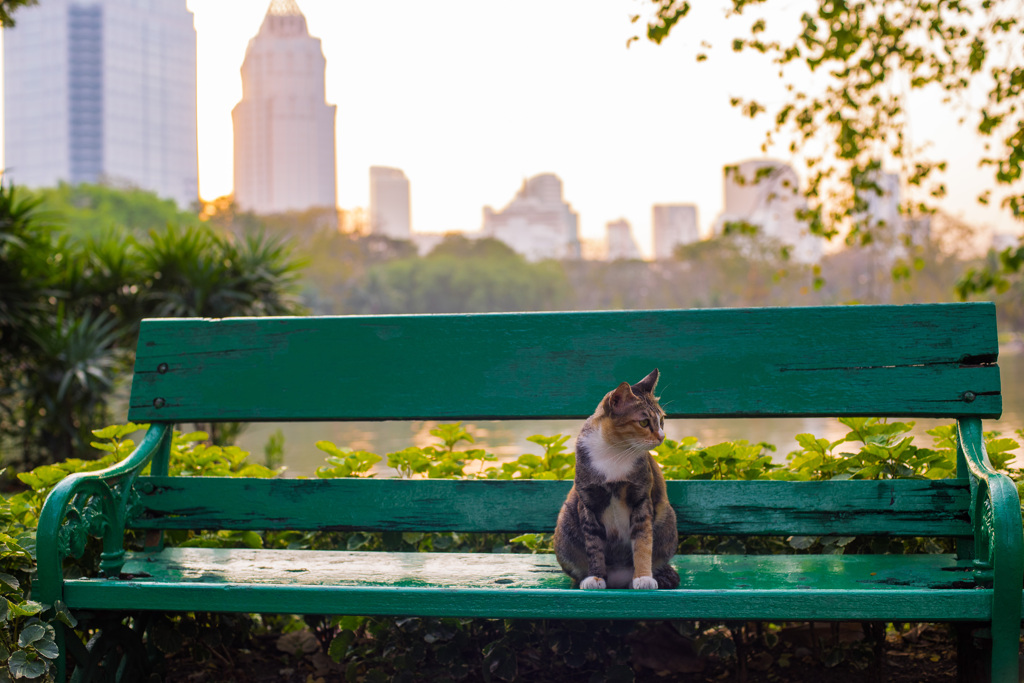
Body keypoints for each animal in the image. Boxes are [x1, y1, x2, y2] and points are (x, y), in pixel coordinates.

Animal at [552, 370, 679, 589]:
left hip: (667, 519)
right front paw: (595, 577)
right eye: (644, 422)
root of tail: (619, 579)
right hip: (565, 527)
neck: (615, 452)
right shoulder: (589, 502)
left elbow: (643, 541)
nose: (662, 436)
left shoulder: (641, 498)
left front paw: (643, 577)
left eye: (661, 420)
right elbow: (594, 546)